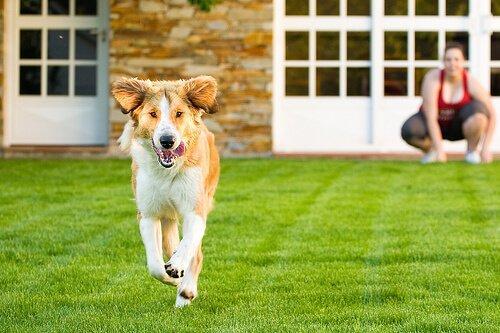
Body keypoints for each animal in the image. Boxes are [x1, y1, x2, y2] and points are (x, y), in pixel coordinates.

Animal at [111, 75, 221, 306]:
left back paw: (186, 292)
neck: (167, 171)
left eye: (179, 113)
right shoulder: (148, 213)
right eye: (153, 114)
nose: (167, 141)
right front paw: (172, 277)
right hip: (167, 218)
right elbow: (155, 265)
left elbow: (188, 245)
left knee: (195, 253)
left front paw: (178, 269)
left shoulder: (195, 210)